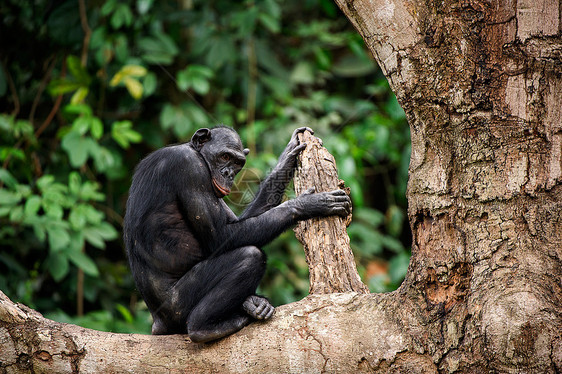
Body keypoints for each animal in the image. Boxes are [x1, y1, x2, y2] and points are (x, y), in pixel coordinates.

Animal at [124, 125, 348, 342]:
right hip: (178, 304)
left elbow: (239, 222)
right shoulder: (191, 169)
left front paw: (288, 155)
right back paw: (205, 327)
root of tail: (157, 324)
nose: (228, 174)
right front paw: (308, 204)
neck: (195, 152)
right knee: (249, 256)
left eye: (238, 163)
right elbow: (222, 236)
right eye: (224, 157)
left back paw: (253, 305)